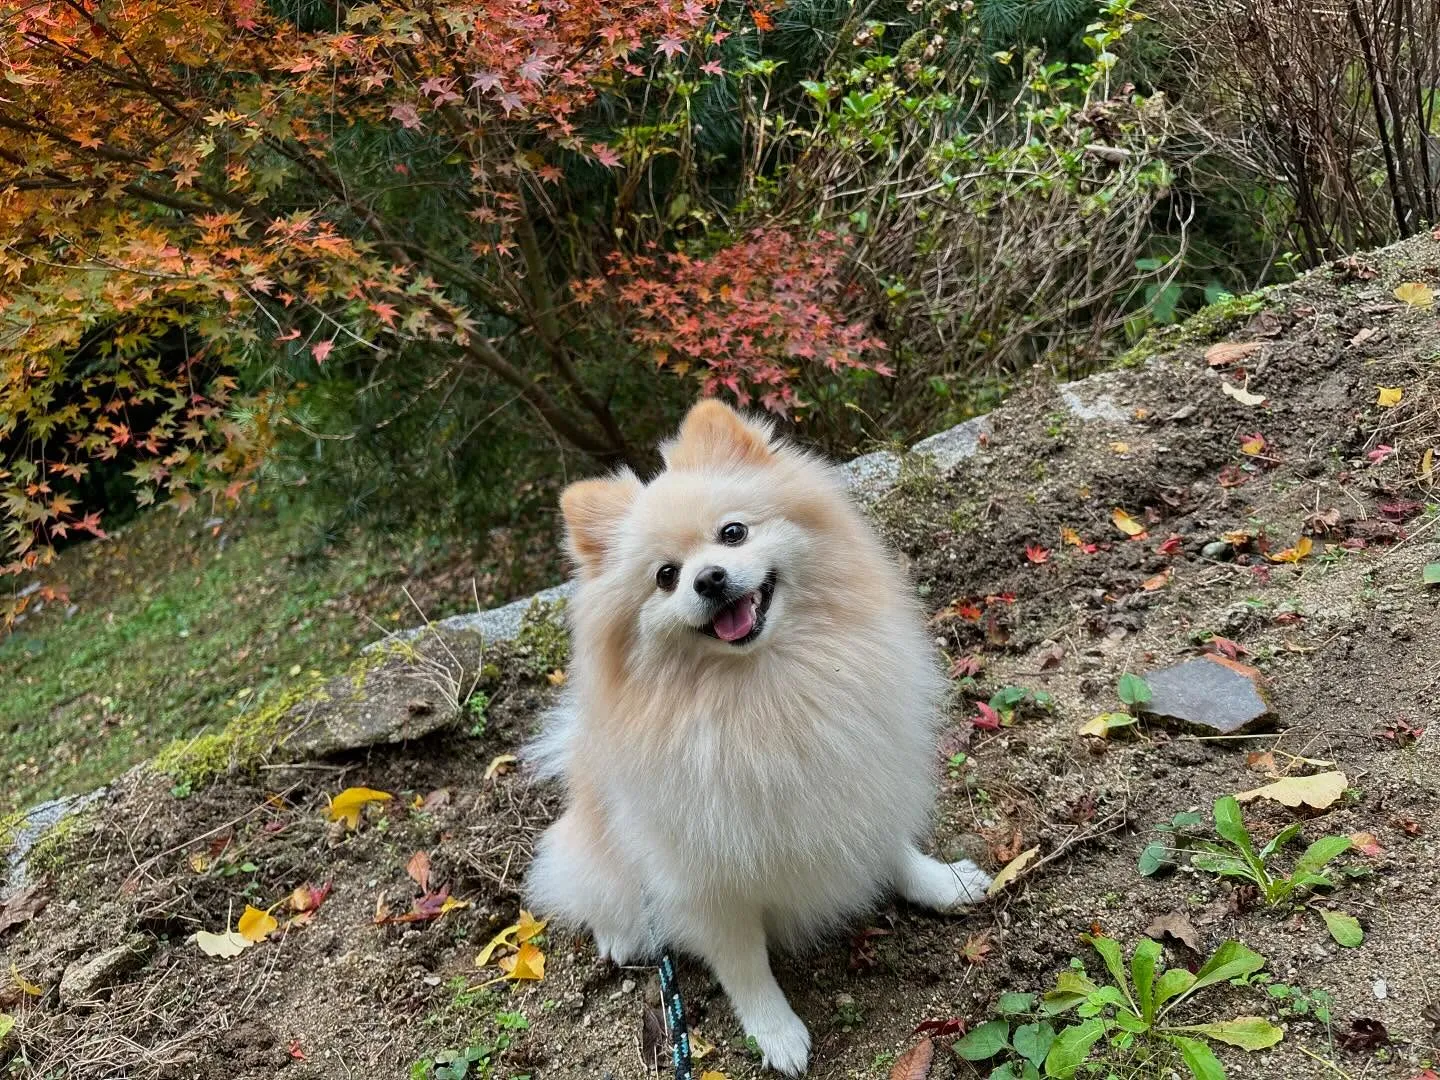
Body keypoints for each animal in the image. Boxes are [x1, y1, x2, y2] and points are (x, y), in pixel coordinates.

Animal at [529, 403, 990, 1077]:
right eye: (665, 577)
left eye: (733, 534)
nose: (709, 579)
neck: (766, 689)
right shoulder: (705, 882)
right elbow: (744, 966)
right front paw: (777, 1033)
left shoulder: (860, 776)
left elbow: (891, 848)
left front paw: (940, 883)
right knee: (589, 892)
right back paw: (618, 935)